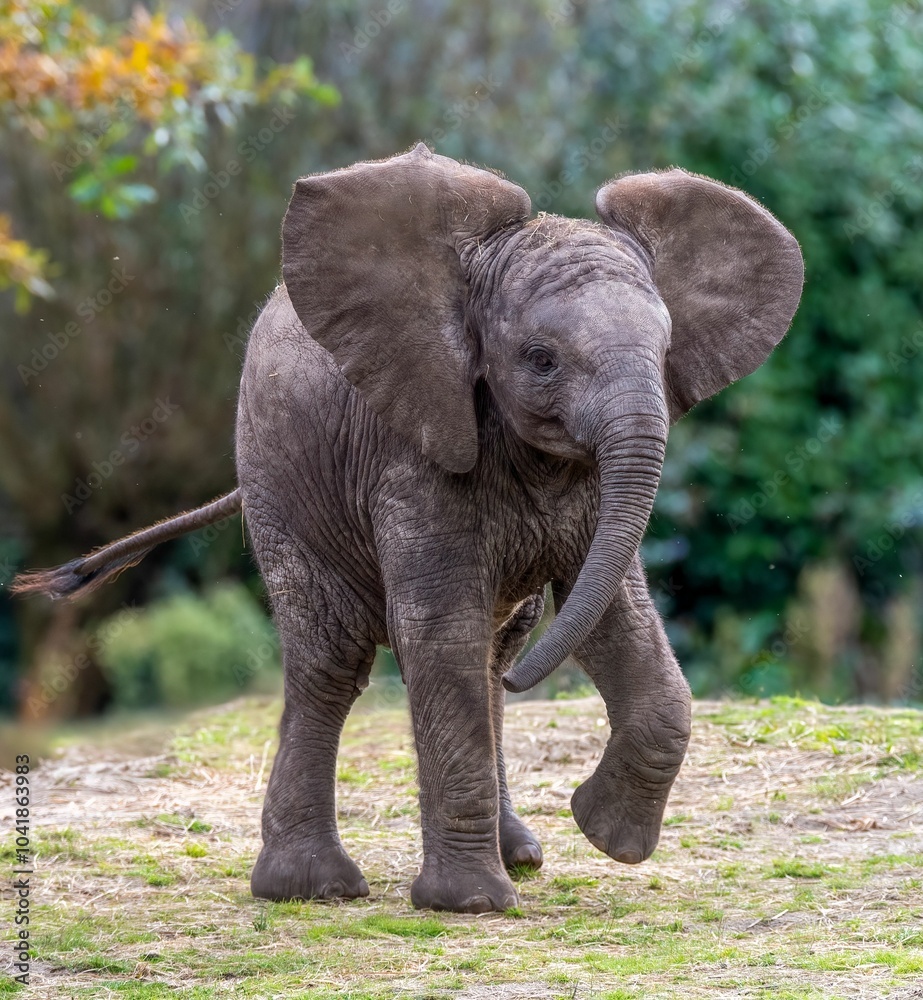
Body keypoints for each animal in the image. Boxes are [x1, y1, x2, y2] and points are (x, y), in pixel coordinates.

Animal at [15, 144, 804, 914]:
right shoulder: (408, 449)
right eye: (540, 359)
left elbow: (615, 618)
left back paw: (520, 854)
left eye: (666, 350)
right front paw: (472, 904)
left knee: (491, 648)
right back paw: (313, 888)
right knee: (332, 658)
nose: (527, 681)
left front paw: (604, 834)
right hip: (281, 484)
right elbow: (439, 628)